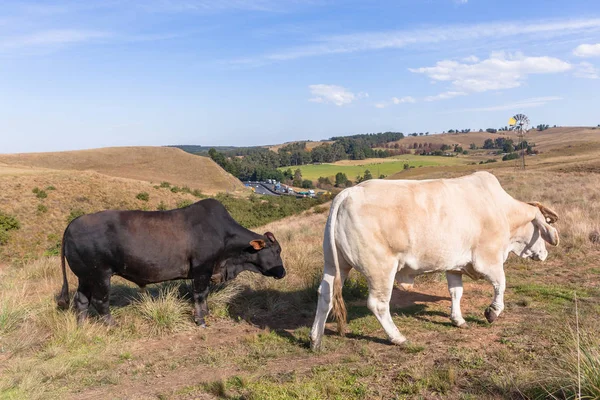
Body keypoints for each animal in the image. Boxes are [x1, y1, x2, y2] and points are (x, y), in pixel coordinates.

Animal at [57, 198, 288, 326]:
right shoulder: (202, 270)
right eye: (276, 250)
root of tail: (73, 223)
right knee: (100, 301)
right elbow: (199, 295)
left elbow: (204, 296)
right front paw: (201, 319)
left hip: (85, 276)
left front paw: (206, 313)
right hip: (100, 275)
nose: (282, 272)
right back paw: (113, 325)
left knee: (81, 300)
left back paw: (81, 326)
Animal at [312, 172, 560, 350]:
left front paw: (458, 319)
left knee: (325, 295)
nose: (545, 254)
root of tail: (348, 193)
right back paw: (398, 337)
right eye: (542, 226)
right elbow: (501, 285)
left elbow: (456, 292)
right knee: (378, 304)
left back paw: (315, 339)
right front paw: (492, 312)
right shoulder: (487, 260)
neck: (502, 211)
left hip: (335, 264)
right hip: (380, 268)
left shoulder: (455, 265)